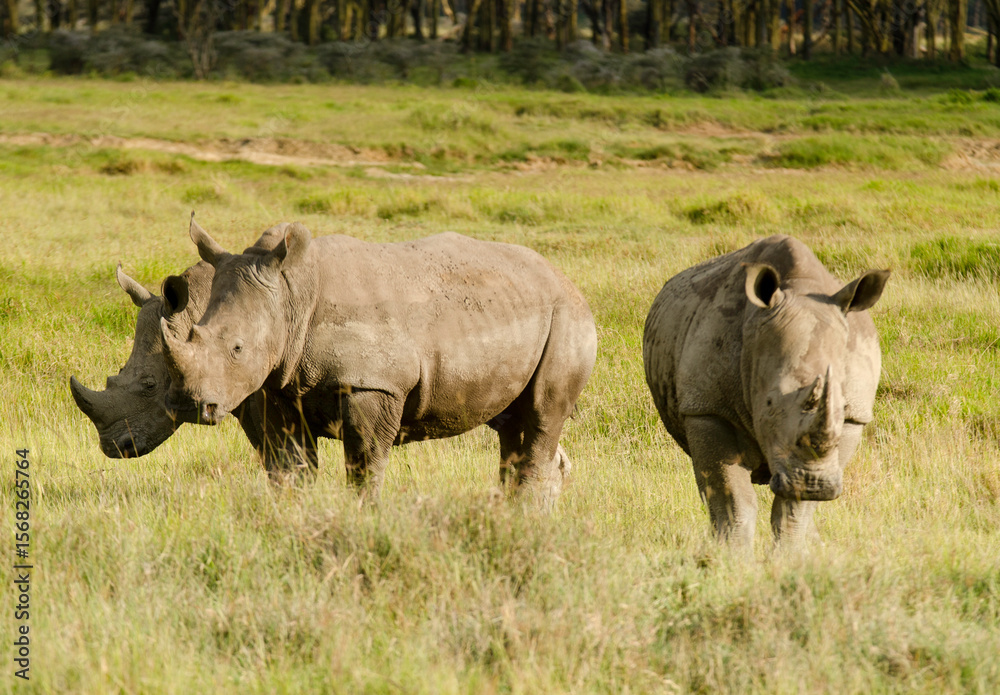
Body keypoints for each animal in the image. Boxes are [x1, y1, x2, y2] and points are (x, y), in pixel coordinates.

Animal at [159, 218, 597, 502]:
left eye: (237, 348)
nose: (192, 405)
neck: (292, 296)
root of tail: (566, 280)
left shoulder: (373, 385)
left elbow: (364, 466)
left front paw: (362, 518)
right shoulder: (280, 385)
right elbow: (290, 467)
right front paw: (297, 516)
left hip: (568, 316)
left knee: (542, 413)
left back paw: (522, 514)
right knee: (512, 423)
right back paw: (508, 512)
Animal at [643, 235, 890, 549]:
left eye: (843, 405)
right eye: (769, 402)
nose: (814, 485)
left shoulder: (853, 418)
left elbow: (794, 509)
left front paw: (791, 554)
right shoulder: (707, 408)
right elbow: (732, 498)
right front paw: (730, 554)